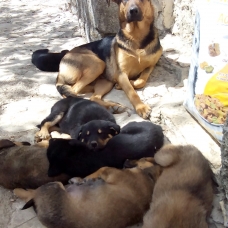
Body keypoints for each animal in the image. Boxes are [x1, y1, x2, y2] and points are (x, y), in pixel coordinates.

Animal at [13, 157, 162, 228]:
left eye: (141, 159)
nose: (125, 160)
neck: (149, 177)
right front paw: (85, 179)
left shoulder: (112, 172)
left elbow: (102, 167)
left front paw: (87, 177)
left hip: (54, 185)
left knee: (32, 192)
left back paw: (18, 190)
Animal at [31, 0, 162, 119]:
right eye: (124, 1)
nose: (133, 11)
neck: (136, 37)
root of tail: (61, 67)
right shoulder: (121, 73)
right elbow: (131, 92)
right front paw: (141, 107)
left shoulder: (151, 66)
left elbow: (141, 81)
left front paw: (126, 84)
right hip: (98, 64)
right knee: (74, 90)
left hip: (105, 81)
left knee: (92, 96)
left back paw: (113, 106)